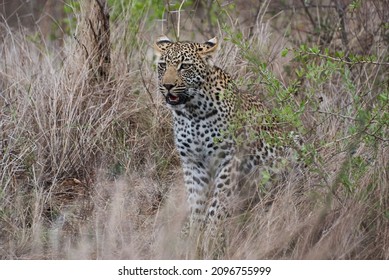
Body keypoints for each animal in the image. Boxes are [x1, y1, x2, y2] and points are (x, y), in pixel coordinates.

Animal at [153, 36, 298, 253]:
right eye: (162, 65)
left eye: (184, 66)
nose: (167, 85)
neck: (192, 113)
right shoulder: (193, 163)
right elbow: (196, 204)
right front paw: (194, 239)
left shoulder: (229, 160)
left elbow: (217, 205)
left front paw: (210, 240)